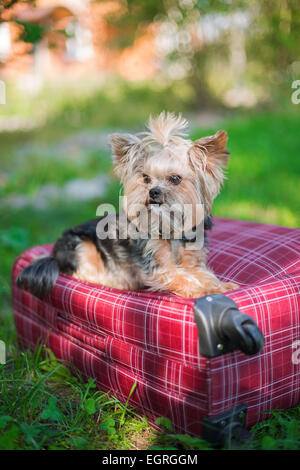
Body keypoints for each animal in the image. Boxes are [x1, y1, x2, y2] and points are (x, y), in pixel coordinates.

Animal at [17, 112, 239, 300]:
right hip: (81, 246)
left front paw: (221, 286)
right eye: (146, 178)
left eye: (175, 179)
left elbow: (202, 274)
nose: (153, 192)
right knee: (83, 273)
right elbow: (181, 277)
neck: (171, 227)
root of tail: (53, 255)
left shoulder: (193, 259)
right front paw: (204, 290)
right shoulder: (157, 266)